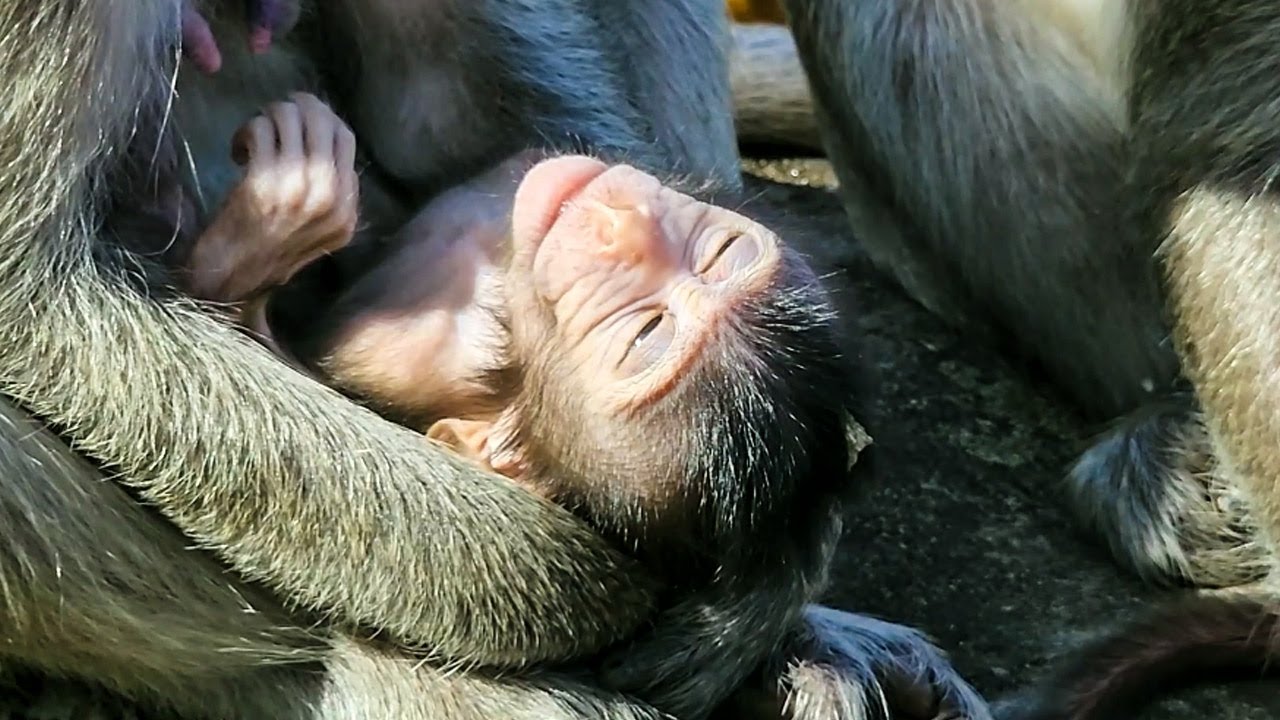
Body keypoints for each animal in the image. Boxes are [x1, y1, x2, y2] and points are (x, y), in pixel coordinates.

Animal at [0, 1, 994, 717]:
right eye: (716, 252)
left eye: (641, 334)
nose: (626, 225)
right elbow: (32, 295)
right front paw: (595, 592)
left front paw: (757, 583)